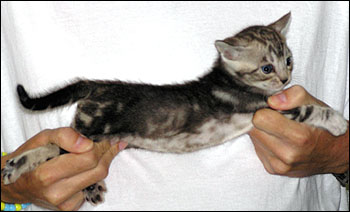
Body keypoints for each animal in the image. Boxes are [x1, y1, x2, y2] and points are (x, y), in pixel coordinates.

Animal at [2, 12, 348, 205]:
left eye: (288, 60)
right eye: (266, 68)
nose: (286, 79)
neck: (230, 79)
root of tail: (99, 84)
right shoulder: (261, 110)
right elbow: (309, 109)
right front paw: (338, 122)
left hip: (92, 136)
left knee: (54, 149)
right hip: (89, 134)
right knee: (54, 148)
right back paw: (23, 166)